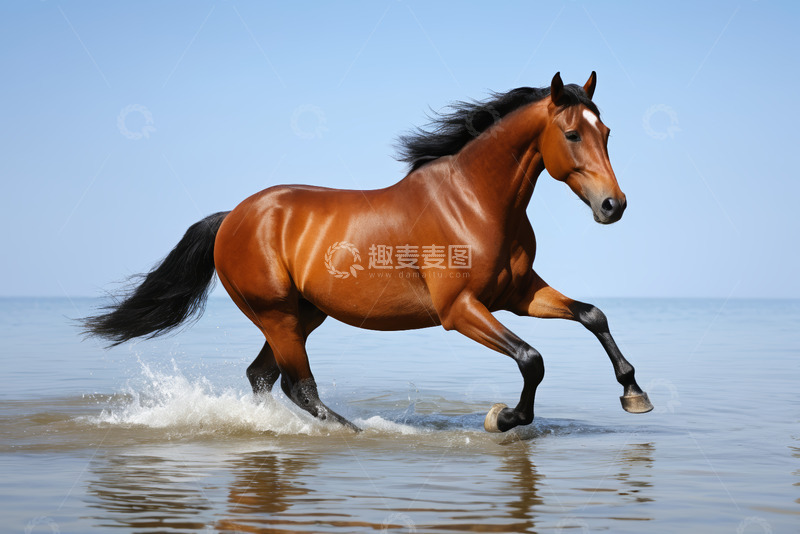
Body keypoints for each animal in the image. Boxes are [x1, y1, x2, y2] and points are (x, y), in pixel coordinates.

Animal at [83, 72, 653, 433]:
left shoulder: (517, 294)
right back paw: (356, 432)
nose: (614, 205)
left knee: (263, 377)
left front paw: (633, 393)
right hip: (278, 316)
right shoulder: (460, 310)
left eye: (606, 132)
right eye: (572, 133)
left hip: (302, 315)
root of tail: (233, 217)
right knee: (299, 387)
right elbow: (532, 359)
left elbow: (592, 315)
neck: (477, 202)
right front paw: (503, 418)